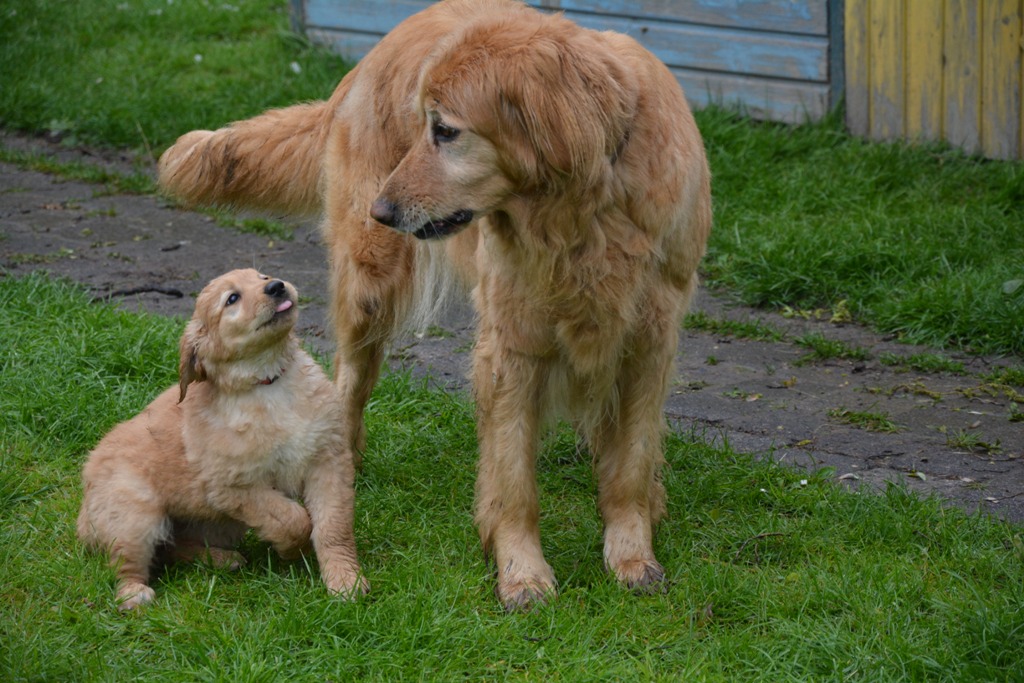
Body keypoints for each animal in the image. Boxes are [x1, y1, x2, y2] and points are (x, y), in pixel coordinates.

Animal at [77, 269, 368, 610]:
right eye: (232, 299)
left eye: (263, 277)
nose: (277, 286)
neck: (268, 383)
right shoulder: (234, 487)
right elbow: (292, 519)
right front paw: (293, 550)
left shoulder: (328, 460)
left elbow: (333, 527)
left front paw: (345, 579)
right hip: (134, 513)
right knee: (127, 563)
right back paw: (134, 593)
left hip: (219, 524)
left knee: (170, 548)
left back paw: (220, 559)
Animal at [157, 0, 711, 610]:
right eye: (424, 124)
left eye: (445, 131)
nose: (380, 210)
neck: (581, 217)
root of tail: (375, 50)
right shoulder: (510, 344)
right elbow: (513, 479)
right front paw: (521, 574)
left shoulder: (649, 340)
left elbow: (630, 462)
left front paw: (632, 554)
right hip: (370, 287)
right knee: (349, 382)